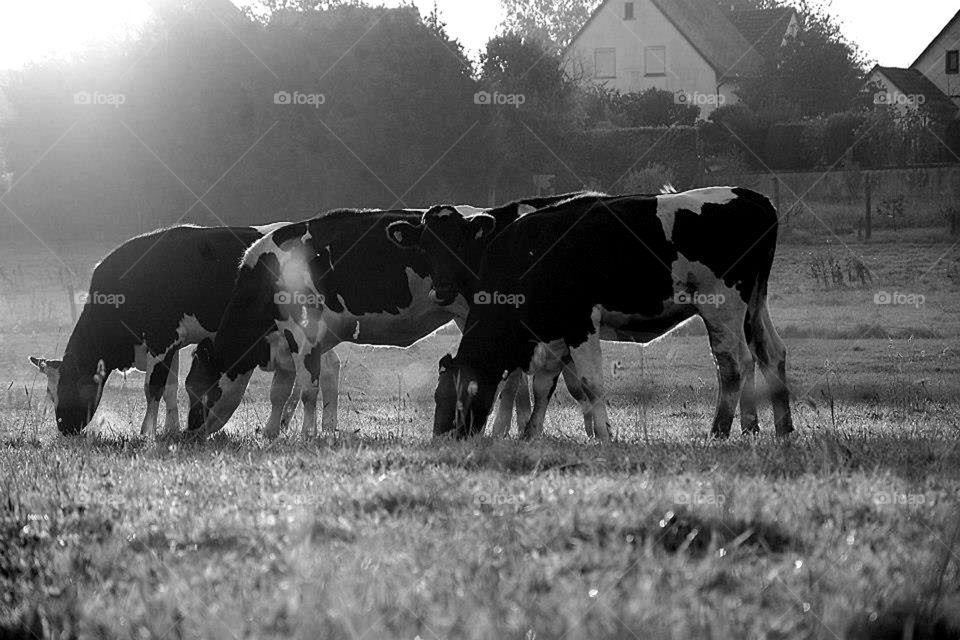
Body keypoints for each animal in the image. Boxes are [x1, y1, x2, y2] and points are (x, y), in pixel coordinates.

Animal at [28, 223, 325, 438]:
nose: (64, 427)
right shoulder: (171, 345)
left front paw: (146, 432)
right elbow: (170, 387)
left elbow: (153, 387)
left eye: (72, 386)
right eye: (50, 393)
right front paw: (170, 429)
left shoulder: (161, 341)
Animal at [185, 196, 587, 441]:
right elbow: (283, 390)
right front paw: (273, 432)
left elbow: (308, 387)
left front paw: (307, 435)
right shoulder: (287, 340)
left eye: (197, 389)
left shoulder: (303, 330)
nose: (188, 434)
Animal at [429, 187, 794, 442]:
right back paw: (783, 426)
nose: (444, 436)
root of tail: (754, 197)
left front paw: (604, 436)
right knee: (771, 353)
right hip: (755, 304)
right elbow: (543, 385)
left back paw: (720, 430)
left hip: (722, 306)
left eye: (456, 396)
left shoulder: (579, 324)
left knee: (734, 363)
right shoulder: (553, 334)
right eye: (437, 396)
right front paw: (531, 433)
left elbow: (590, 384)